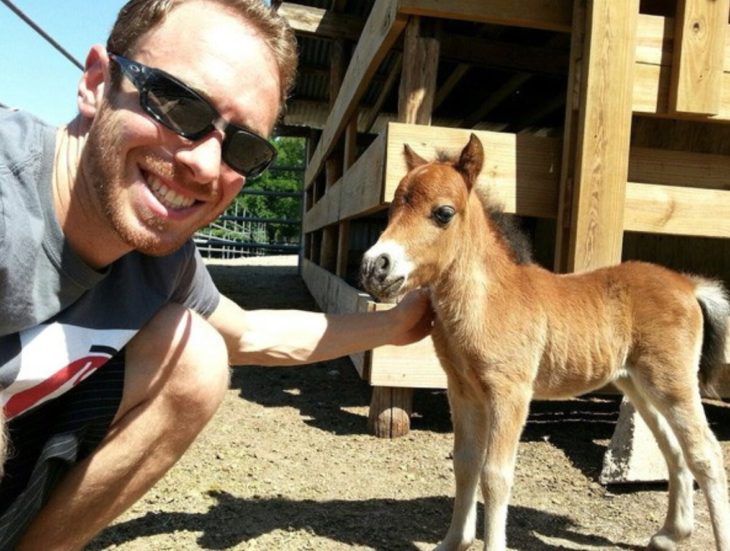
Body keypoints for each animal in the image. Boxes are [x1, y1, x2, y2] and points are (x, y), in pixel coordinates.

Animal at [358, 135, 728, 551]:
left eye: (443, 213)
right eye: (393, 207)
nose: (375, 267)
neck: (489, 300)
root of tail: (687, 284)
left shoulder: (511, 393)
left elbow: (495, 474)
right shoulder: (463, 390)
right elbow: (465, 463)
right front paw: (453, 542)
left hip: (673, 382)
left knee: (706, 453)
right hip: (638, 384)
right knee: (674, 449)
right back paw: (669, 534)